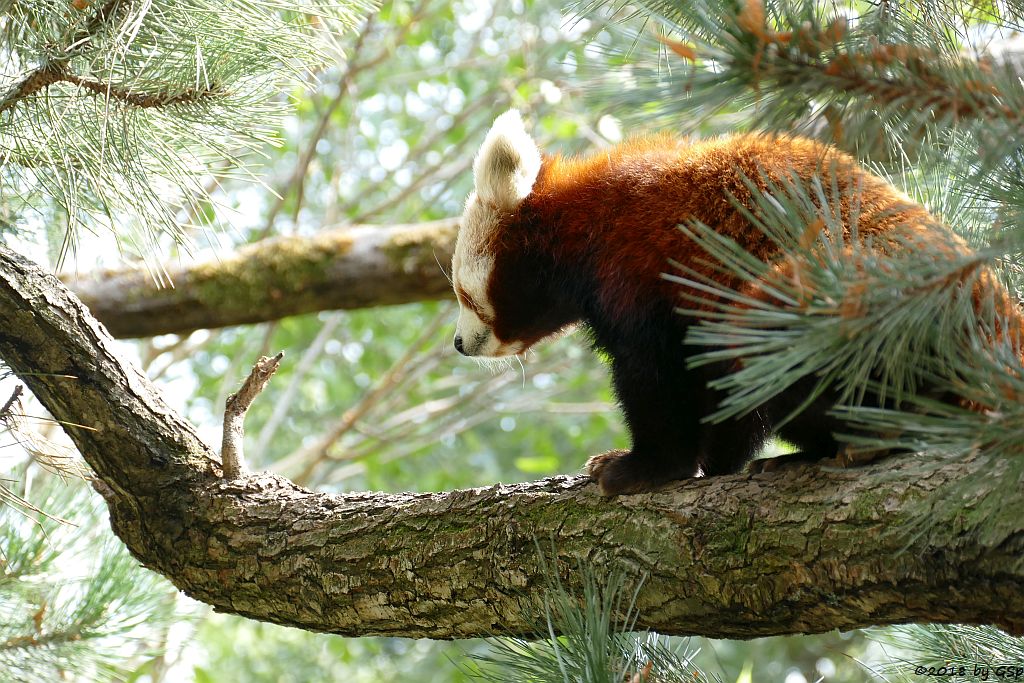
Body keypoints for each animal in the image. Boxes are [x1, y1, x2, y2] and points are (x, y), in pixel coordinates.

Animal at [452, 111, 1019, 497]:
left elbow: (655, 374)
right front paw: (716, 461)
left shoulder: (639, 270)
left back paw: (878, 435)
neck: (587, 218)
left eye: (464, 294)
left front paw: (649, 467)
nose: (458, 344)